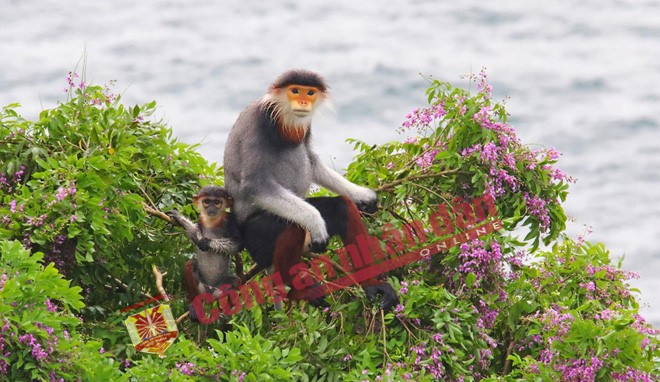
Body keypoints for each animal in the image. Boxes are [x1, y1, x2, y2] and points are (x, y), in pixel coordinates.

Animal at [169, 187, 244, 320]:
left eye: (217, 202)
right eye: (207, 201)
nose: (212, 208)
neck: (212, 221)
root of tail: (210, 293)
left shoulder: (230, 219)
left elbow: (238, 244)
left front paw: (207, 242)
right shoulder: (201, 219)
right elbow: (195, 235)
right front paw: (180, 219)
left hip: (220, 288)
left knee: (236, 281)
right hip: (201, 288)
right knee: (190, 265)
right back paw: (195, 305)